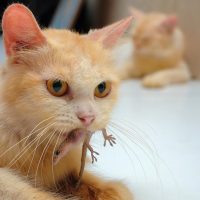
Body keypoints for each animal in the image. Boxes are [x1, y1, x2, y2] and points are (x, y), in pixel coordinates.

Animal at [0, 3, 133, 200]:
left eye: (102, 88)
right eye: (57, 86)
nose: (88, 117)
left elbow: (89, 180)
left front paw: (110, 190)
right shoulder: (7, 182)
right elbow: (24, 192)